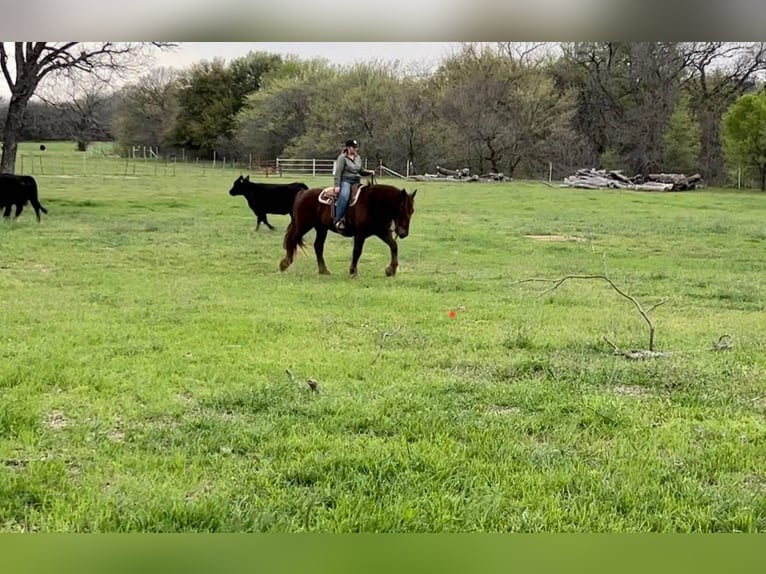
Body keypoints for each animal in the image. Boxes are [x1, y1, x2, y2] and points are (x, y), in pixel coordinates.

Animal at [280, 182, 416, 276]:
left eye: (412, 211)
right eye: (401, 209)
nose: (403, 233)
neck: (373, 203)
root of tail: (302, 193)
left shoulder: (382, 231)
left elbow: (393, 246)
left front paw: (391, 270)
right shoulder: (360, 234)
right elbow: (357, 251)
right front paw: (353, 271)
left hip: (321, 228)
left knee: (318, 246)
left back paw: (324, 270)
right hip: (303, 225)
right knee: (292, 239)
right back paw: (284, 264)